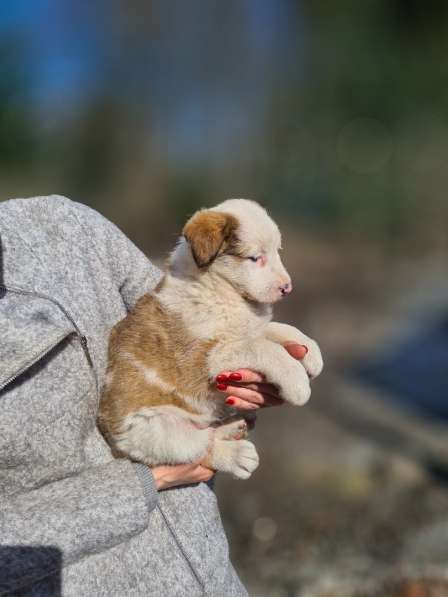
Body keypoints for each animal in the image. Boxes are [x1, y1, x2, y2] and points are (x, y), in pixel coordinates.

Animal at [99, 200, 322, 480]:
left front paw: (312, 352)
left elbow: (277, 329)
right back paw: (236, 455)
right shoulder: (212, 356)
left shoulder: (251, 328)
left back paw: (232, 427)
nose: (287, 287)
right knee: (197, 446)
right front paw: (298, 383)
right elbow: (265, 348)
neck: (221, 288)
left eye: (276, 252)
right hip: (153, 429)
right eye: (255, 257)